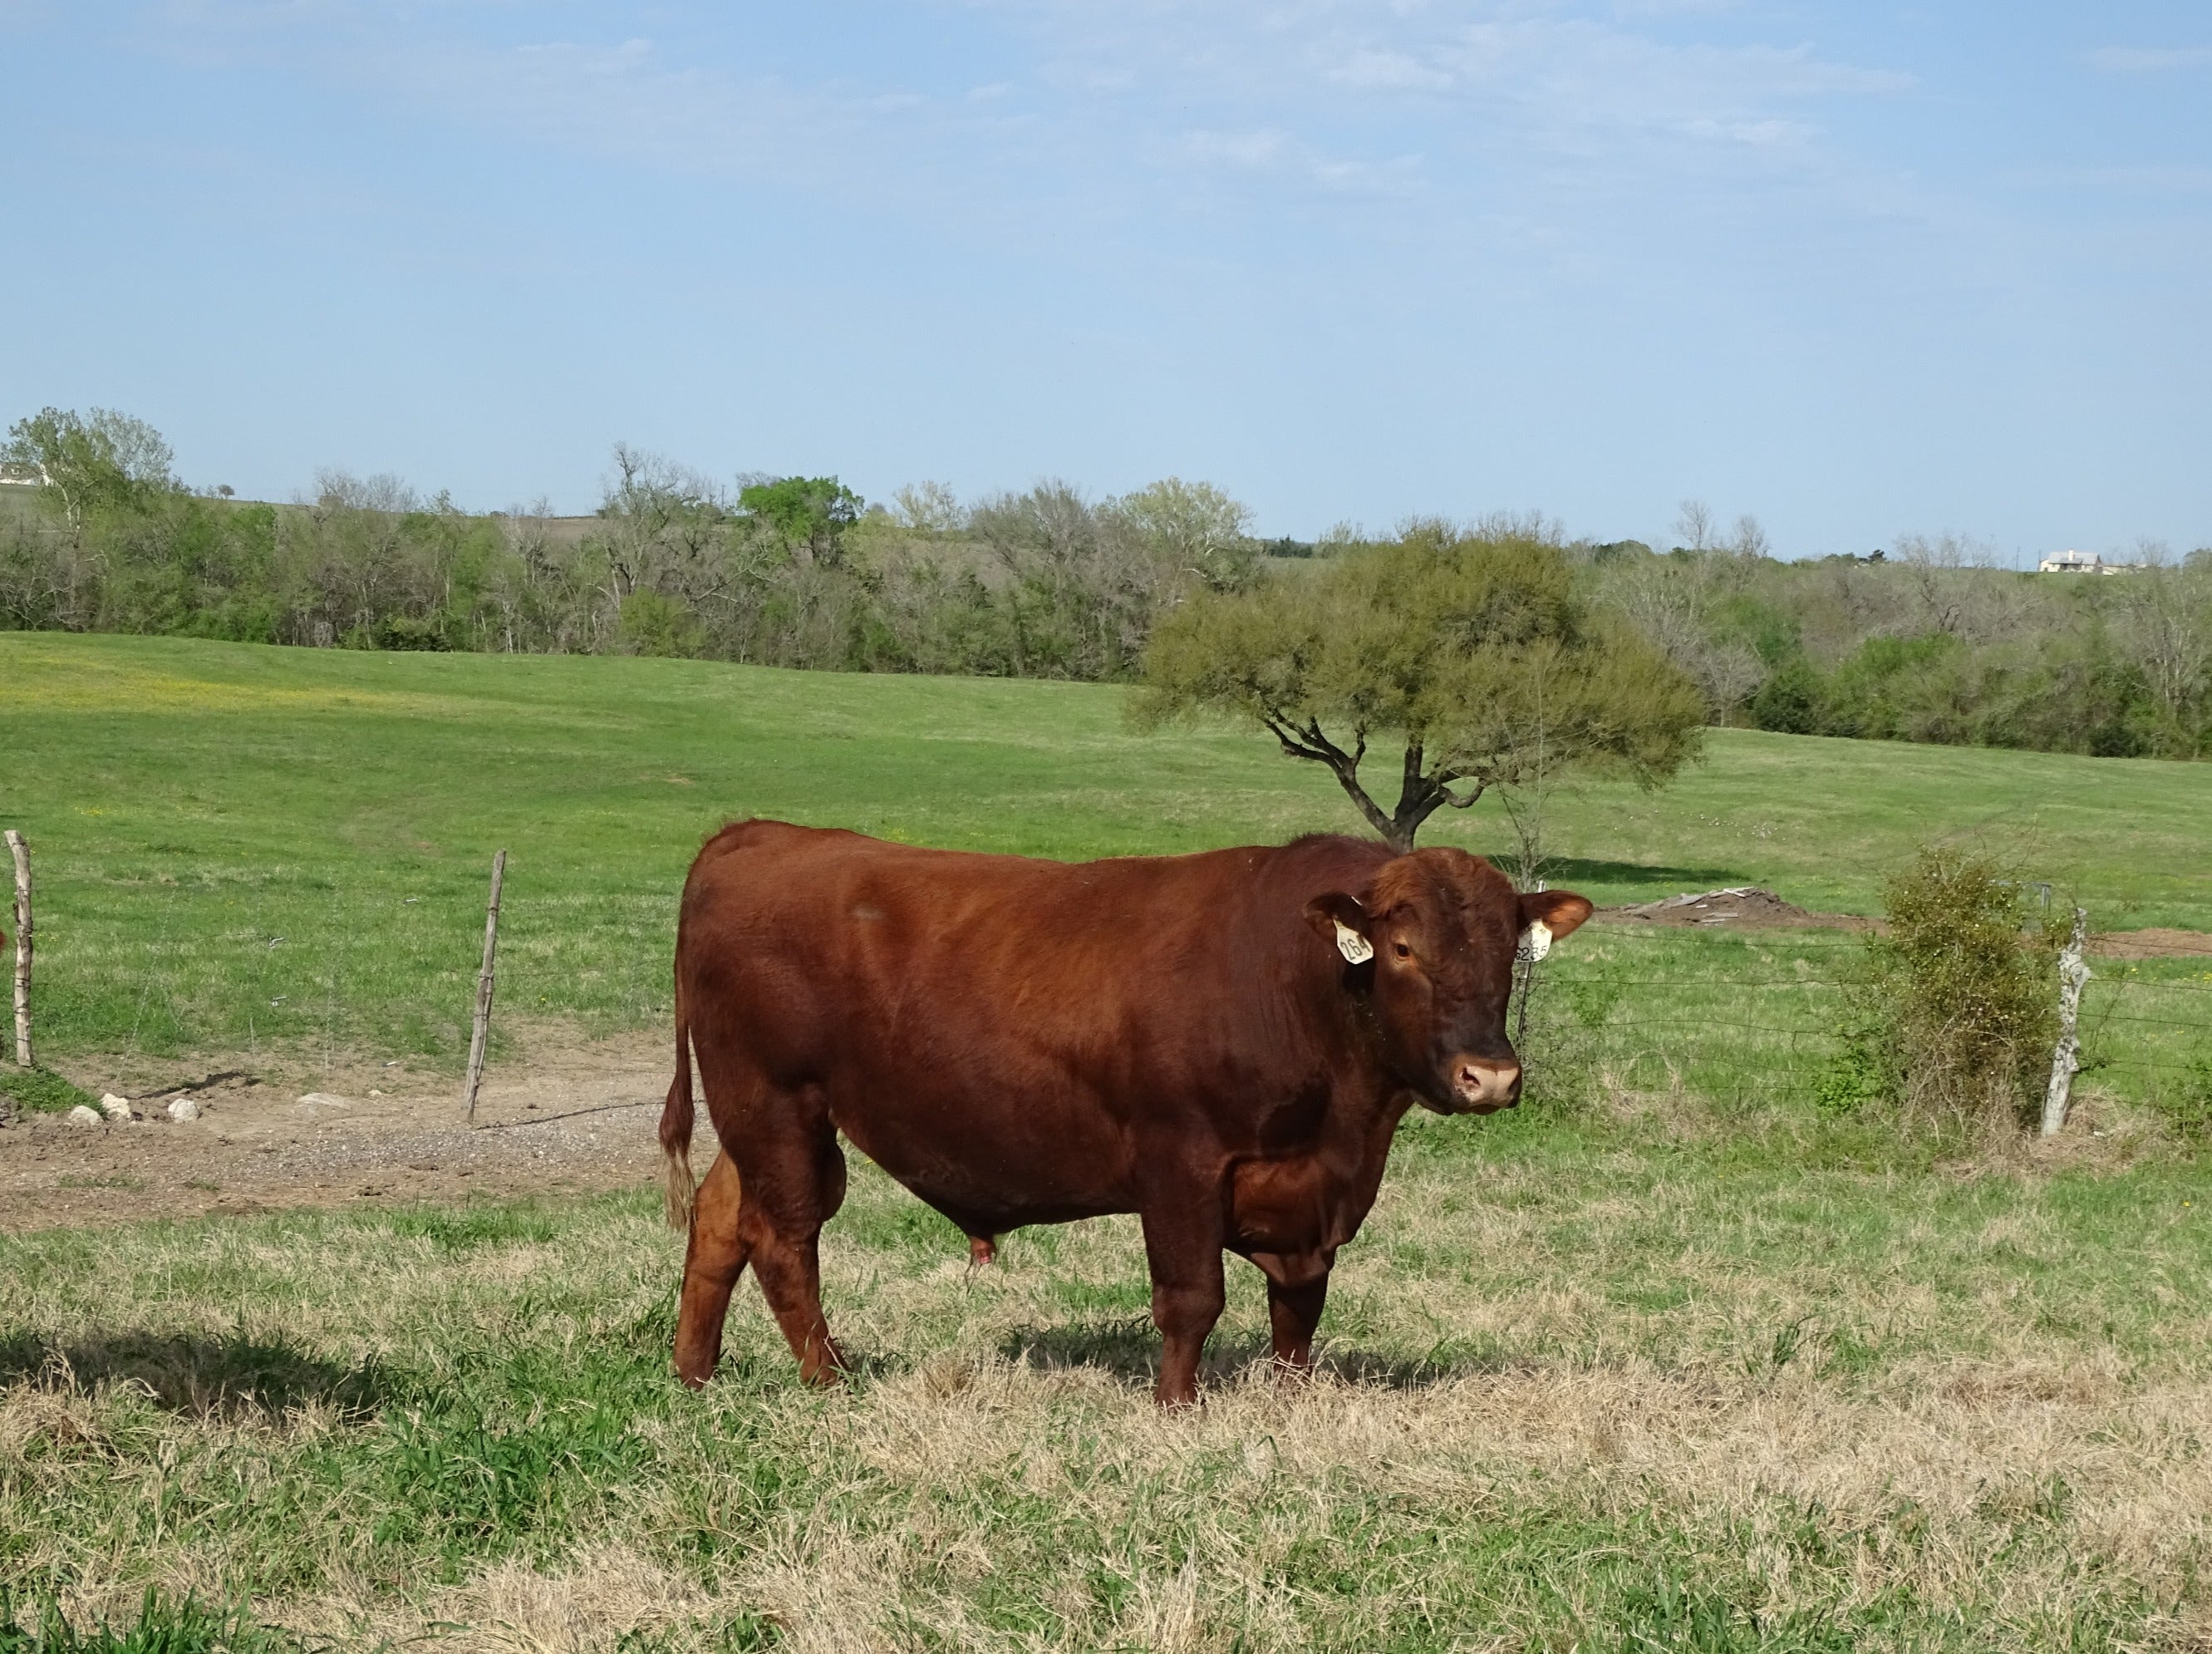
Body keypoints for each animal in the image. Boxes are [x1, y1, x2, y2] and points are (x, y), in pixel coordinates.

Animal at [657, 820, 1592, 1405]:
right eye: (1401, 949)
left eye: (1509, 953)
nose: (1489, 1077)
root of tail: (758, 834)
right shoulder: (1180, 1161)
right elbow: (1191, 1298)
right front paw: (1176, 1410)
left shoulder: (1311, 1190)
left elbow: (1300, 1306)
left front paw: (1291, 1401)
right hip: (777, 1103)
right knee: (784, 1240)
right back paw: (829, 1379)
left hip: (758, 1121)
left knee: (721, 1221)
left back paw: (694, 1373)